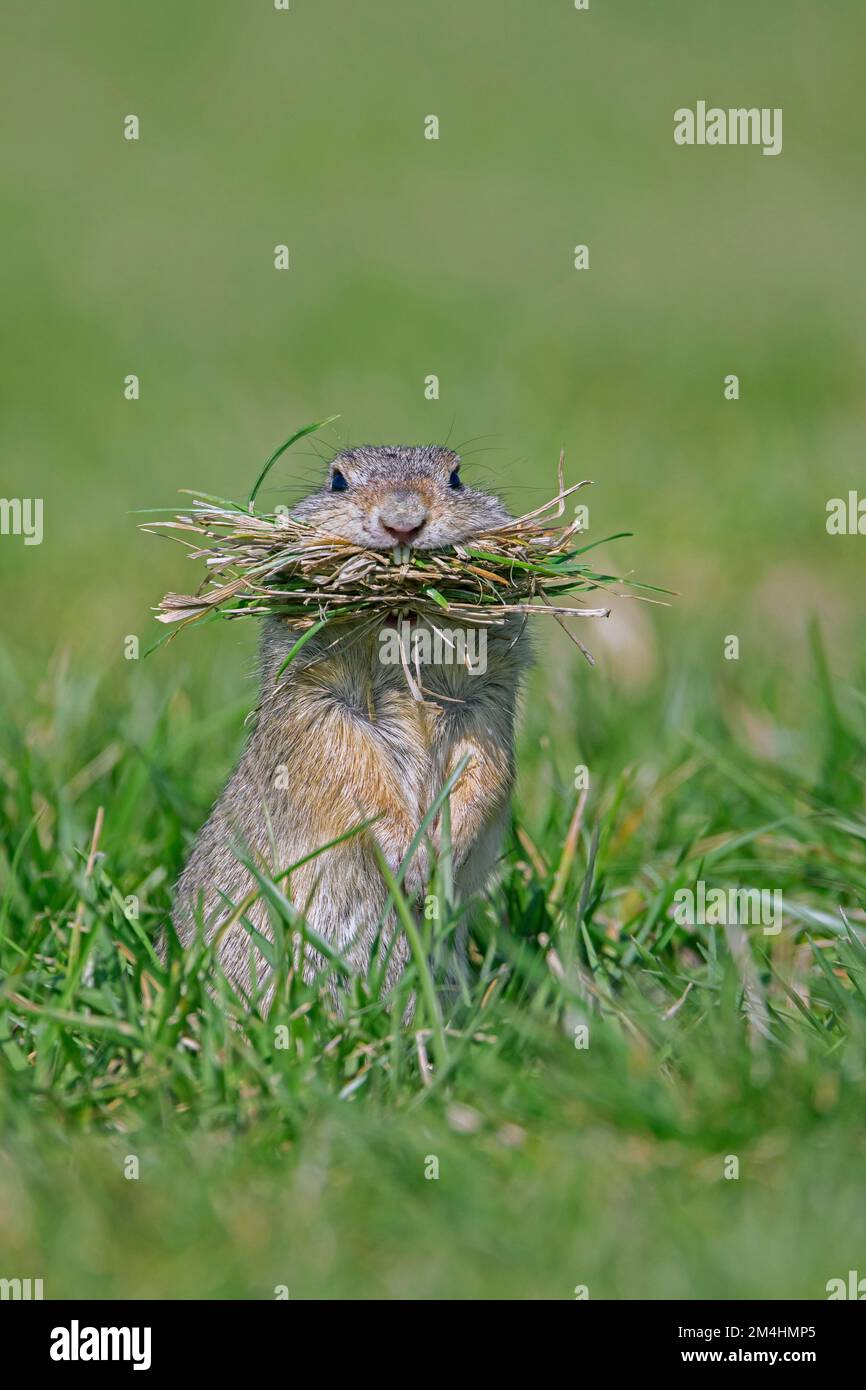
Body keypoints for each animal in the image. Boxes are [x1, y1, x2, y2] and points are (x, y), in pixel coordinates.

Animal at [170, 450, 528, 1006]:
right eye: (337, 480)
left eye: (456, 477)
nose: (403, 522)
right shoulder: (315, 697)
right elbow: (346, 766)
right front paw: (408, 854)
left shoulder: (487, 699)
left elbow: (489, 766)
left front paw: (445, 850)